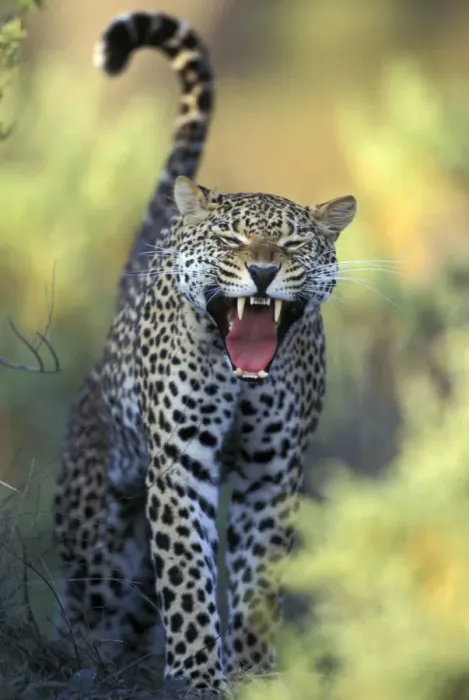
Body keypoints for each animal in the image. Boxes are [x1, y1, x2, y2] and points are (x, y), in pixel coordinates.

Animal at [52, 10, 356, 694]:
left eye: (294, 244)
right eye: (231, 239)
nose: (264, 272)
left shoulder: (273, 472)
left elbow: (258, 579)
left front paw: (252, 673)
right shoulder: (179, 464)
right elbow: (189, 576)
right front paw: (197, 676)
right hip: (95, 517)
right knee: (91, 596)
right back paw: (87, 659)